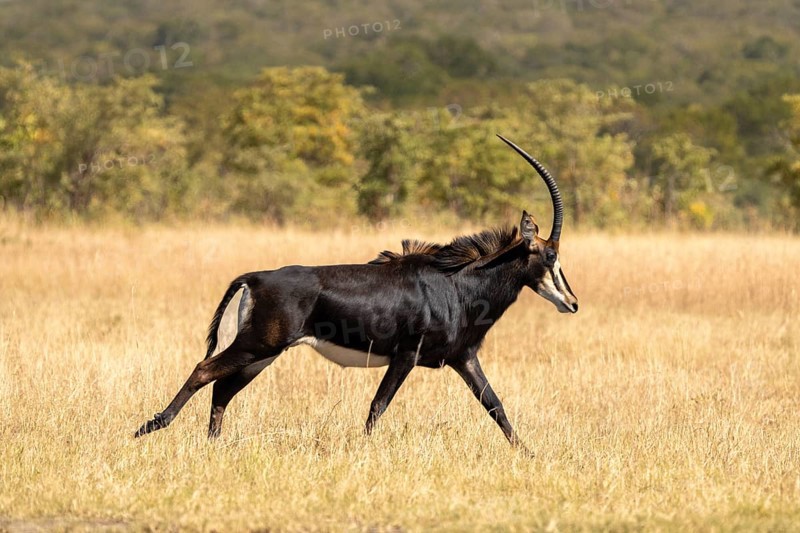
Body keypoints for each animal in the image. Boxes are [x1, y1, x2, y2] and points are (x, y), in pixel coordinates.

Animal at [134, 135, 578, 450]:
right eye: (550, 253)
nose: (572, 303)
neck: (457, 283)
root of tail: (255, 277)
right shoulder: (406, 355)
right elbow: (378, 405)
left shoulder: (463, 358)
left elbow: (495, 405)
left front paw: (527, 453)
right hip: (258, 345)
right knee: (203, 371)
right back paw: (150, 426)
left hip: (263, 353)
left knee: (222, 388)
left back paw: (212, 445)